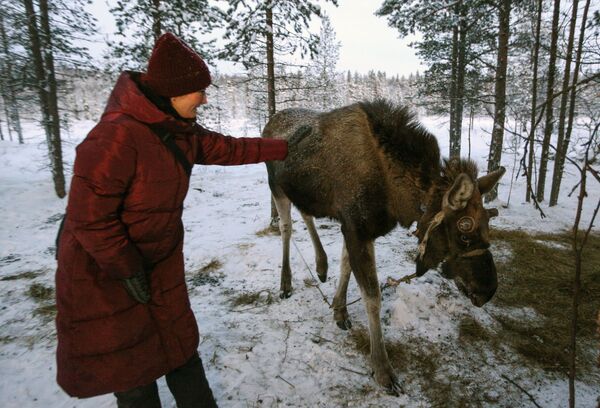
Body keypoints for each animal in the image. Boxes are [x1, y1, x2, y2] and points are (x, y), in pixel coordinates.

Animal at [262, 99, 506, 396]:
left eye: (488, 223)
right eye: (464, 231)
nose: (488, 290)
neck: (395, 194)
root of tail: (270, 122)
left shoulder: (358, 229)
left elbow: (346, 267)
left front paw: (339, 310)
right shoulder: (356, 228)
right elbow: (372, 297)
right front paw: (383, 370)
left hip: (304, 193)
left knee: (306, 215)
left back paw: (321, 265)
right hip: (276, 187)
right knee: (286, 228)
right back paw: (285, 283)